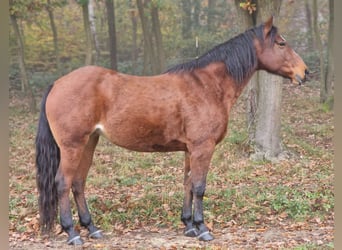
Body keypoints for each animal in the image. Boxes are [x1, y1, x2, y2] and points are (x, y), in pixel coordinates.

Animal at [36, 16, 308, 245]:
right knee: (63, 183)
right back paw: (72, 233)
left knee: (78, 183)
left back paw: (91, 228)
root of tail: (57, 84)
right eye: (281, 43)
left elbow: (187, 183)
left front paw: (188, 226)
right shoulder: (202, 147)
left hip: (89, 143)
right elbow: (199, 186)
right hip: (72, 146)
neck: (207, 85)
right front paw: (203, 228)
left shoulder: (190, 149)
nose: (304, 73)